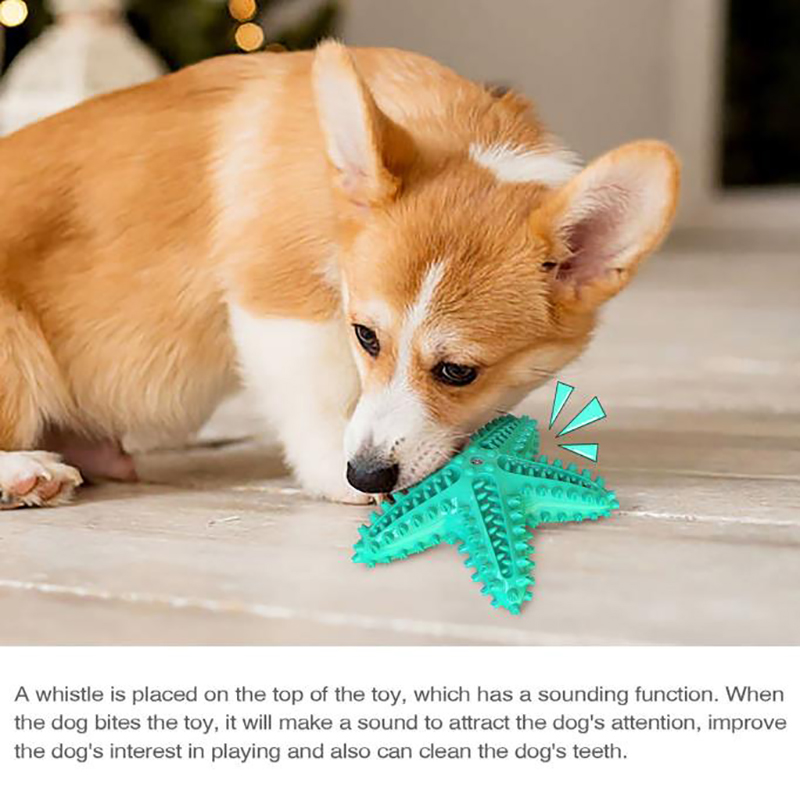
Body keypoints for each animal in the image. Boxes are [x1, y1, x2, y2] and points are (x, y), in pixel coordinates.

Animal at [0, 41, 679, 510]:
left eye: (458, 372)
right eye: (366, 337)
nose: (369, 472)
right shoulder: (281, 304)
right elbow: (319, 396)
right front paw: (338, 473)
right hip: (16, 341)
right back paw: (26, 474)